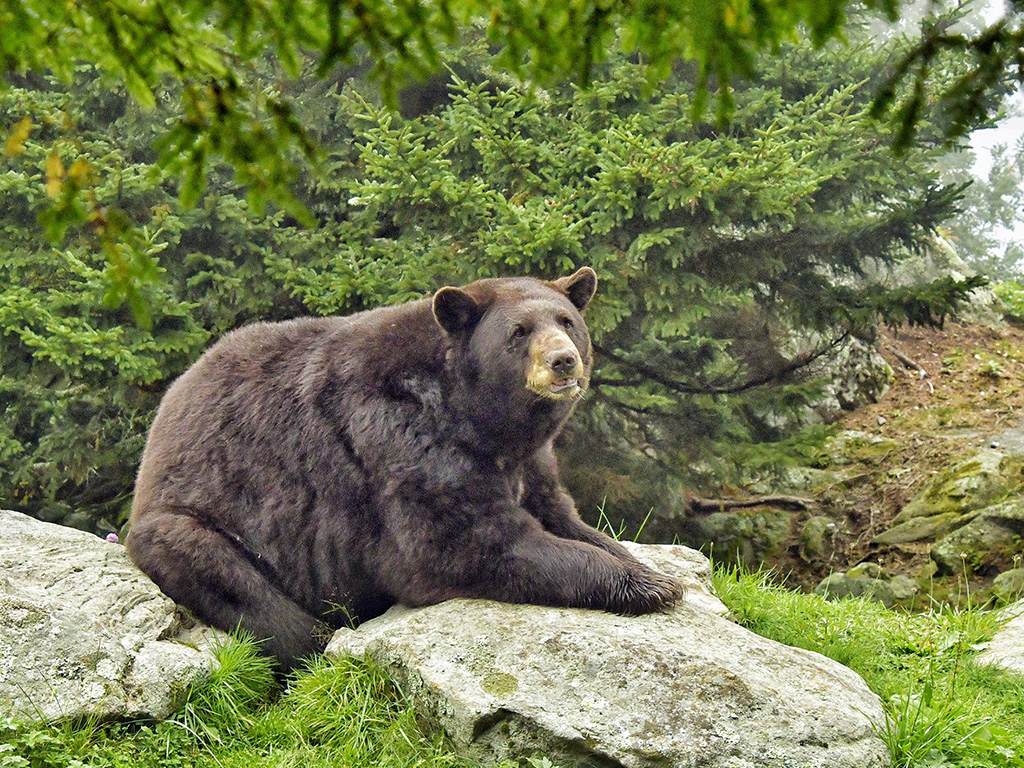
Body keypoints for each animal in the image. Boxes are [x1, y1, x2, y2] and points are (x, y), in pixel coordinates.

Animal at [130, 268, 688, 671]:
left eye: (567, 320)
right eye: (518, 331)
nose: (563, 361)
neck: (482, 418)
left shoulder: (529, 461)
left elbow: (563, 516)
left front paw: (651, 570)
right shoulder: (401, 440)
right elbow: (462, 543)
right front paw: (650, 587)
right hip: (193, 522)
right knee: (257, 599)